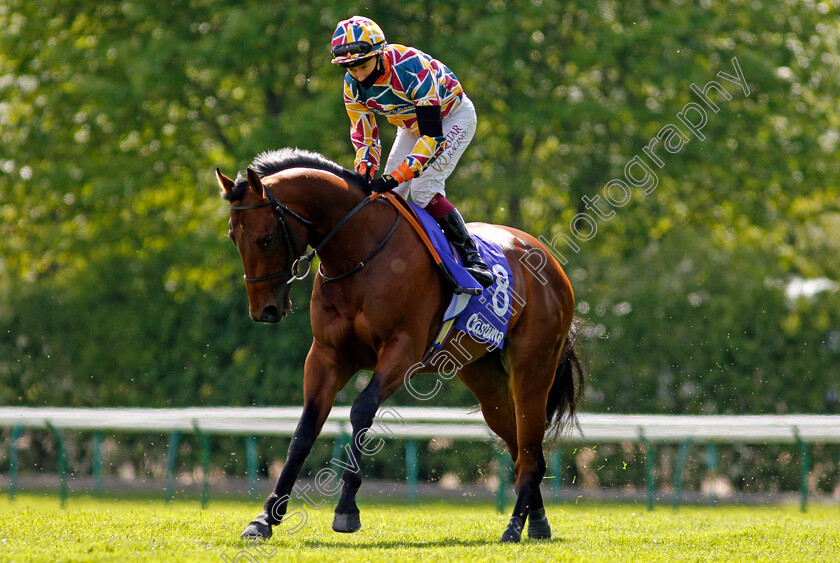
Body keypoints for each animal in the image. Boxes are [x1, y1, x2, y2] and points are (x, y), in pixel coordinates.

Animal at [217, 148, 584, 544]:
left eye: (267, 238)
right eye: (233, 237)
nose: (265, 310)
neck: (358, 251)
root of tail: (551, 263)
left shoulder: (402, 350)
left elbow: (361, 410)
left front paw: (346, 509)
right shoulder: (326, 356)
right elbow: (304, 432)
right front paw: (265, 518)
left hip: (532, 369)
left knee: (530, 451)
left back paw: (513, 527)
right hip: (485, 379)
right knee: (522, 448)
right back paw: (538, 522)